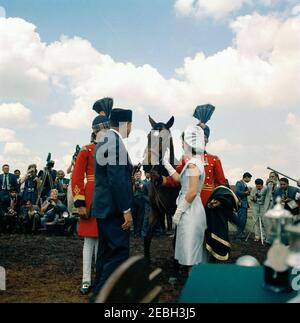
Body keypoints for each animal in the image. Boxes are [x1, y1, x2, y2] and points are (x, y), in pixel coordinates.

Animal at [143, 115, 180, 262]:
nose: (147, 165)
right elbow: (147, 237)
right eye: (148, 136)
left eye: (163, 137)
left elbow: (176, 243)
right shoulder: (156, 211)